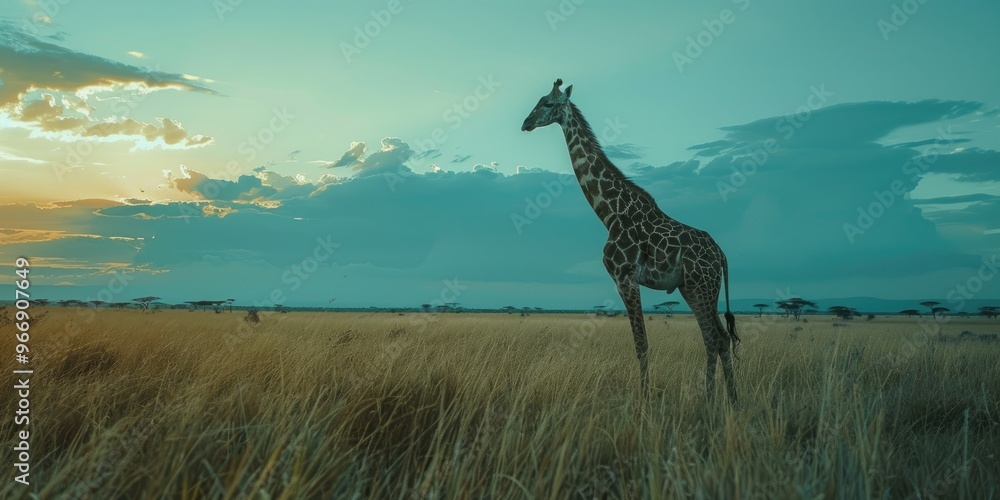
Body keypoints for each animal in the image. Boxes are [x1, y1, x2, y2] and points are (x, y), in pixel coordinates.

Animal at [521, 79, 739, 404]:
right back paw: (730, 400)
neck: (610, 211)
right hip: (692, 288)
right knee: (719, 338)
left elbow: (641, 344)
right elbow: (641, 343)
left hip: (702, 287)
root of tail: (721, 255)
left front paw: (644, 399)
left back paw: (711, 399)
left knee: (714, 338)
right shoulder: (626, 280)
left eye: (547, 103)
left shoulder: (624, 277)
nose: (526, 123)